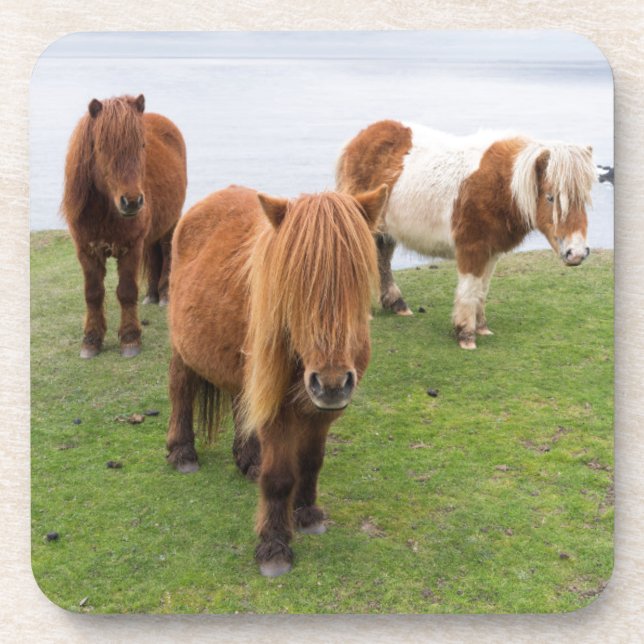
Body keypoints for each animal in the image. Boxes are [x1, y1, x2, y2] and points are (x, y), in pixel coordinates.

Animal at [61, 94, 187, 358]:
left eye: (142, 145)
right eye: (102, 148)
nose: (132, 201)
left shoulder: (131, 248)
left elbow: (127, 292)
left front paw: (130, 339)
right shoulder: (87, 251)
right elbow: (93, 294)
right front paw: (91, 340)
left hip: (170, 225)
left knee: (167, 253)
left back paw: (164, 294)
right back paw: (151, 294)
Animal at [165, 183, 387, 577]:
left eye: (357, 278)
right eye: (295, 285)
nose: (331, 383)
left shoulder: (323, 412)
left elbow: (312, 461)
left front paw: (307, 513)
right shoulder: (279, 411)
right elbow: (280, 477)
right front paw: (274, 546)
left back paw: (248, 460)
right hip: (182, 349)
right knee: (181, 391)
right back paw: (182, 452)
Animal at [336, 120, 597, 349]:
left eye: (583, 199)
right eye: (551, 197)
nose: (576, 253)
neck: (501, 185)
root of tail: (361, 138)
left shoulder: (491, 251)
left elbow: (482, 289)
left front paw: (481, 327)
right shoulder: (472, 248)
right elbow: (469, 289)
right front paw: (466, 334)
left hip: (385, 232)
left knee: (382, 258)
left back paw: (396, 304)